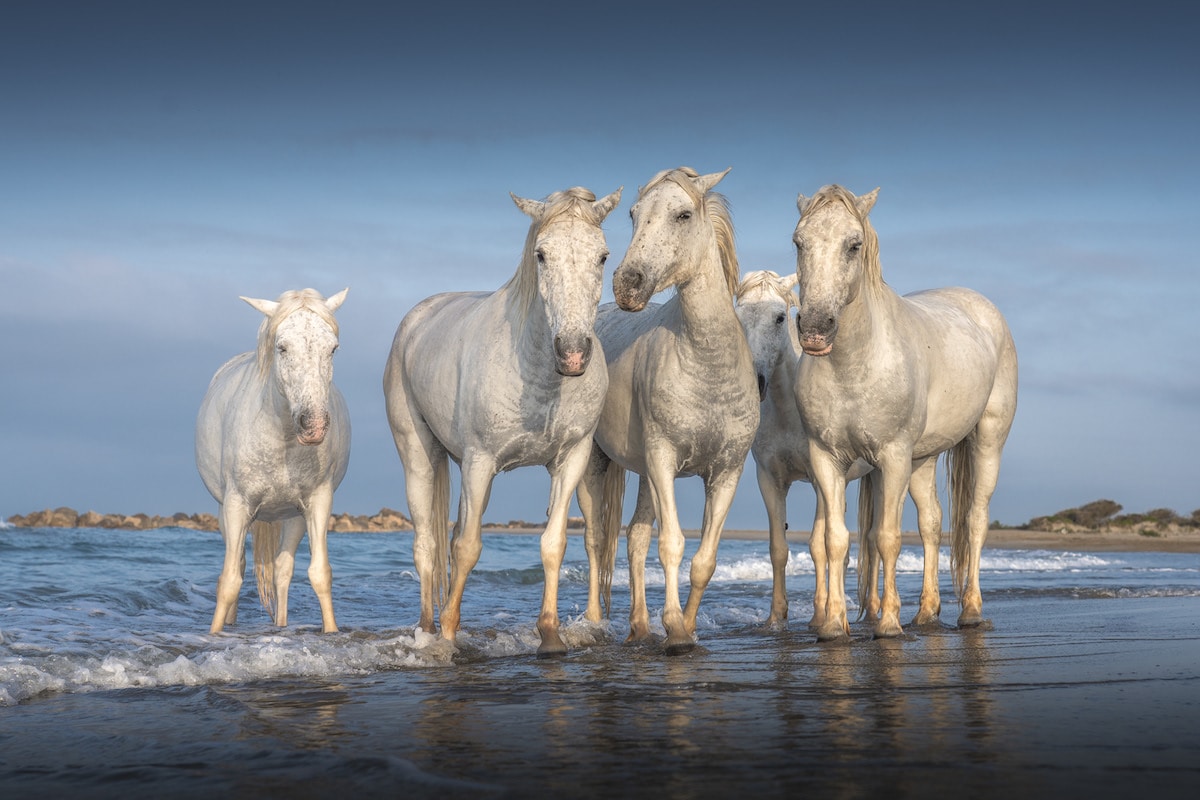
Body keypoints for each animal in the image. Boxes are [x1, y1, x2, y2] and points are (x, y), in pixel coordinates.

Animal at [196, 287, 351, 634]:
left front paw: (332, 632)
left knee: (282, 570)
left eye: (333, 348)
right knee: (239, 565)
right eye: (282, 347)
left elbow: (320, 574)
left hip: (292, 517)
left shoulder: (319, 502)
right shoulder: (236, 505)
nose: (314, 425)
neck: (282, 440)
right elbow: (229, 580)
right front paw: (214, 634)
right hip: (226, 513)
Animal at [383, 185, 622, 657]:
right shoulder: (481, 461)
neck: (540, 375)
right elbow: (468, 548)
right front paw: (449, 636)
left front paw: (550, 635)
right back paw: (427, 630)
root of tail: (416, 318)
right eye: (541, 254)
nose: (572, 353)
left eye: (603, 256)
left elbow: (553, 543)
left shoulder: (571, 460)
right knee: (427, 543)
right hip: (419, 456)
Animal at [577, 167, 759, 655]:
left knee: (635, 538)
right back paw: (595, 624)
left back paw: (639, 627)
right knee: (595, 538)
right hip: (594, 464)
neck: (706, 364)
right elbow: (672, 544)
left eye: (682, 215)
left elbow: (704, 559)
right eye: (634, 214)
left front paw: (688, 628)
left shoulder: (727, 471)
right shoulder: (663, 460)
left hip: (641, 473)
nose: (627, 283)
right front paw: (675, 629)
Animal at [734, 269, 941, 631]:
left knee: (872, 540)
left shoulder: (820, 479)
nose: (756, 382)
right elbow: (778, 548)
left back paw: (874, 611)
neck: (787, 410)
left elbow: (819, 545)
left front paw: (820, 616)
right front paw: (776, 618)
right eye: (741, 316)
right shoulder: (770, 480)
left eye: (779, 317)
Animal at [792, 184, 1018, 640]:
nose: (815, 329)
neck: (853, 363)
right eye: (798, 242)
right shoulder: (826, 459)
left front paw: (889, 624)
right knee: (932, 522)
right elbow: (836, 541)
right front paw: (834, 626)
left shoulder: (892, 457)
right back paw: (927, 612)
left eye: (854, 245)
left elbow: (887, 537)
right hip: (923, 459)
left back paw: (970, 611)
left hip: (986, 442)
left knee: (974, 521)